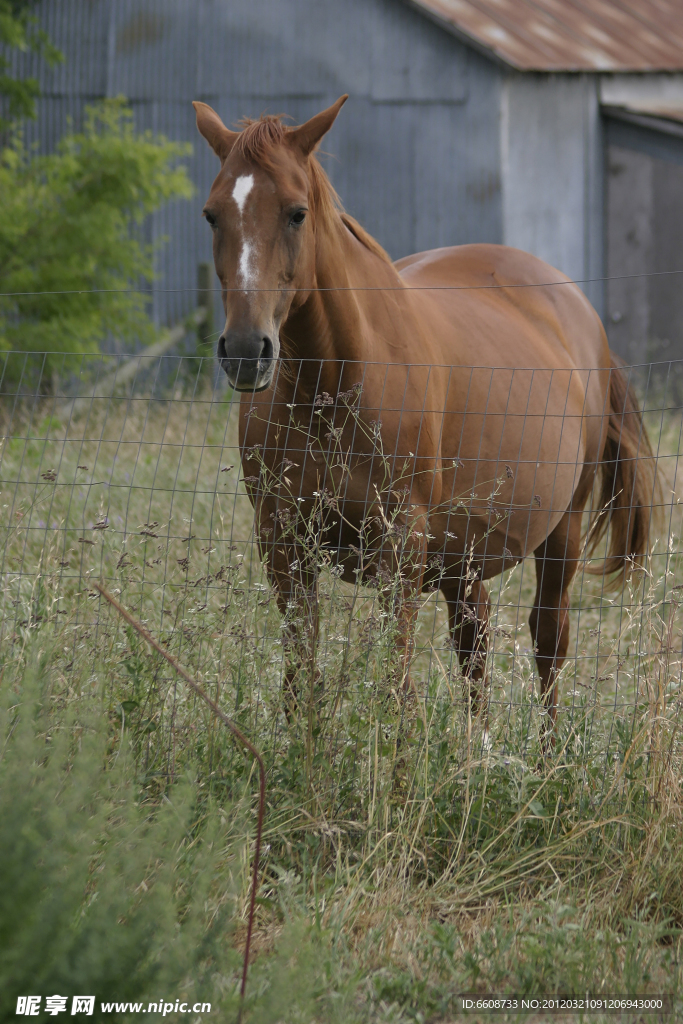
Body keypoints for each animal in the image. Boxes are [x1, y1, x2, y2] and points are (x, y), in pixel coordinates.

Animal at [192, 96, 655, 745]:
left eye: (296, 213)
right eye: (212, 216)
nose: (243, 350)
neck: (333, 386)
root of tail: (577, 308)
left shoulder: (400, 549)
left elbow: (397, 688)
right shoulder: (284, 546)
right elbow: (301, 678)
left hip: (560, 533)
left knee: (548, 643)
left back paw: (546, 759)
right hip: (463, 553)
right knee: (474, 640)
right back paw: (475, 754)